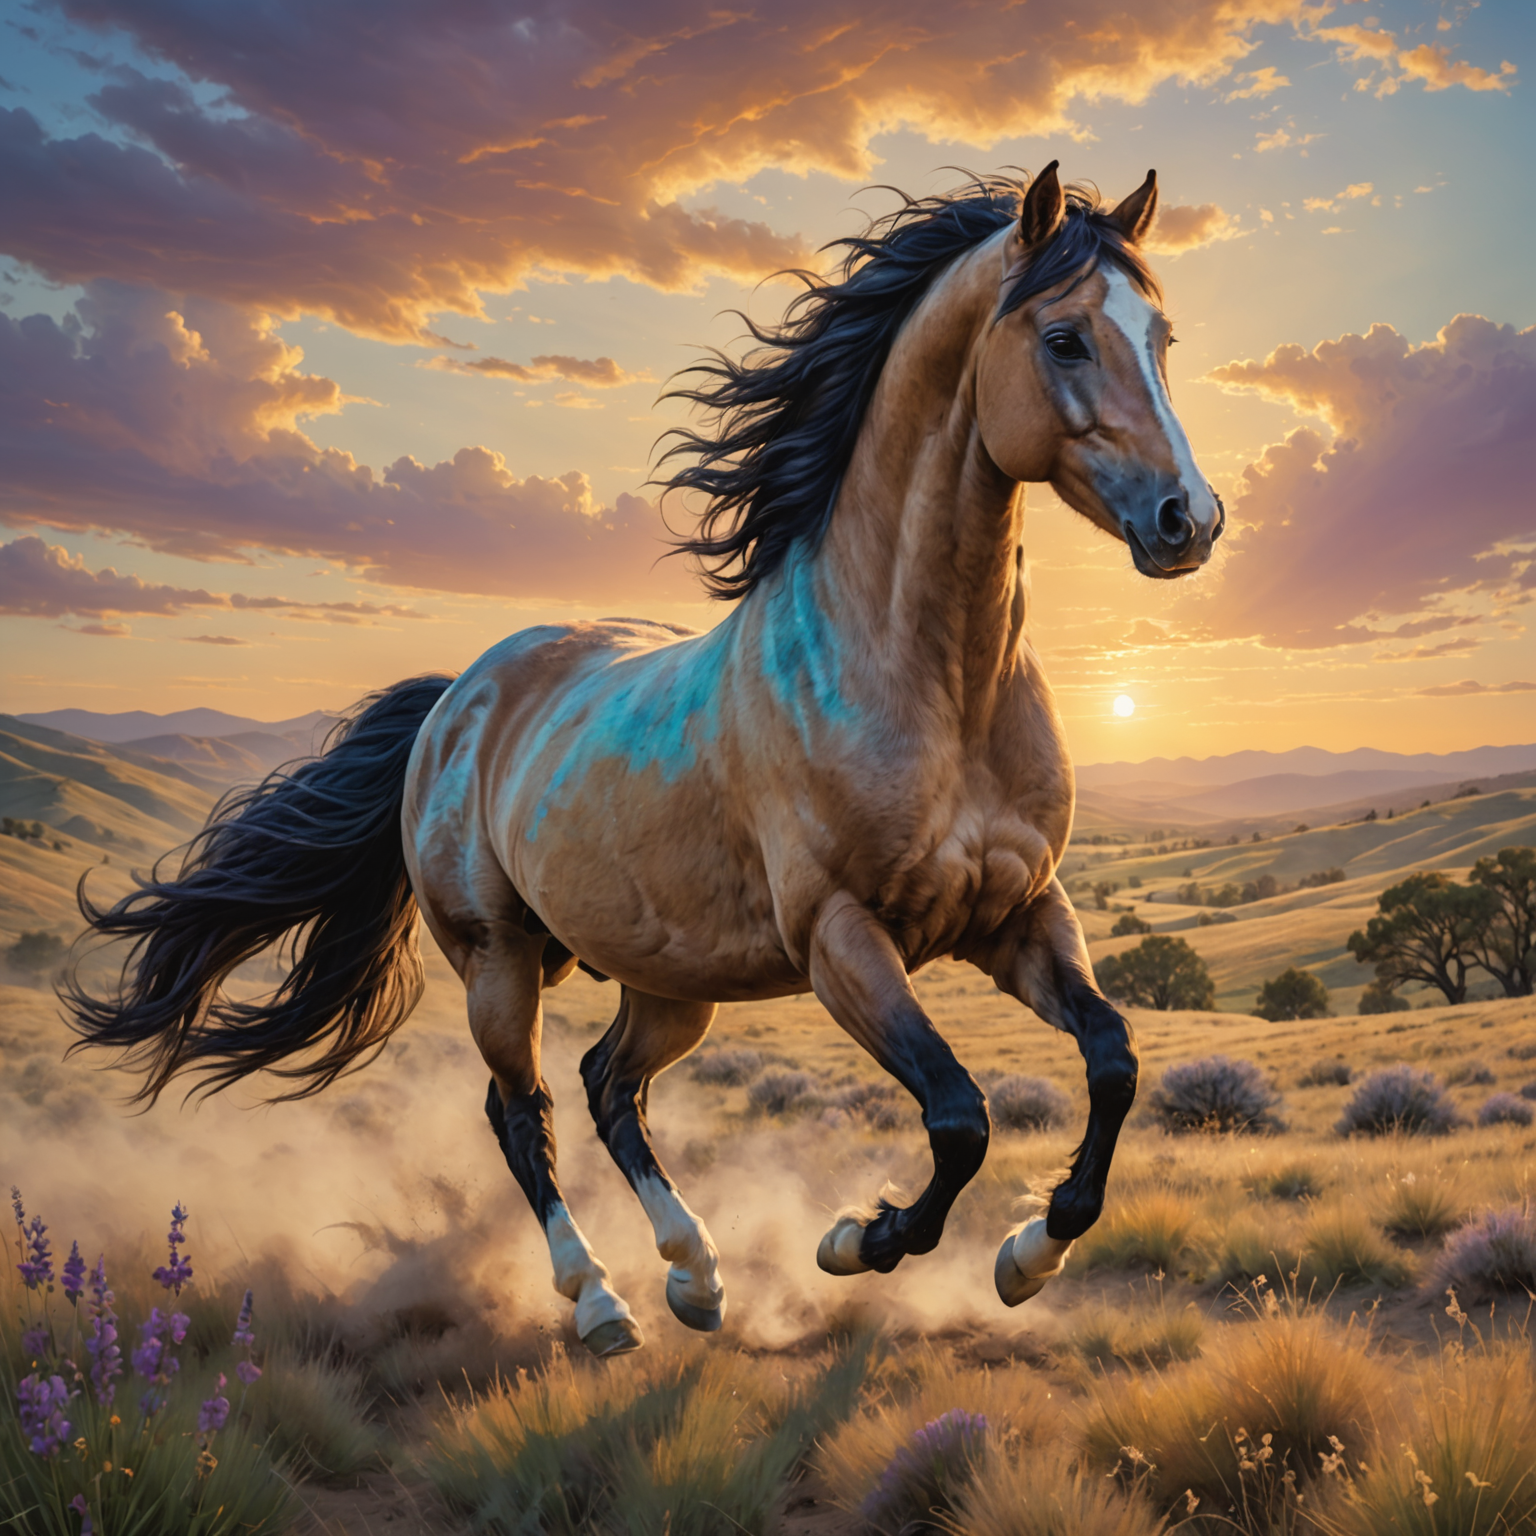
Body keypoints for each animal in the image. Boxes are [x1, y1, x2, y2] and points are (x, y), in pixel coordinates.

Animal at [63, 164, 1222, 1359]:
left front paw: (1032, 1254)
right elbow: (958, 1117)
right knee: (519, 1109)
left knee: (609, 1086)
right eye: (1066, 339)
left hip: (670, 980)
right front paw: (857, 1239)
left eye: (1162, 336)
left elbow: (1115, 1060)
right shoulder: (843, 939)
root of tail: (456, 699)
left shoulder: (1019, 914)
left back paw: (696, 1276)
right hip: (498, 961)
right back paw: (601, 1300)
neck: (934, 687)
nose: (1189, 519)